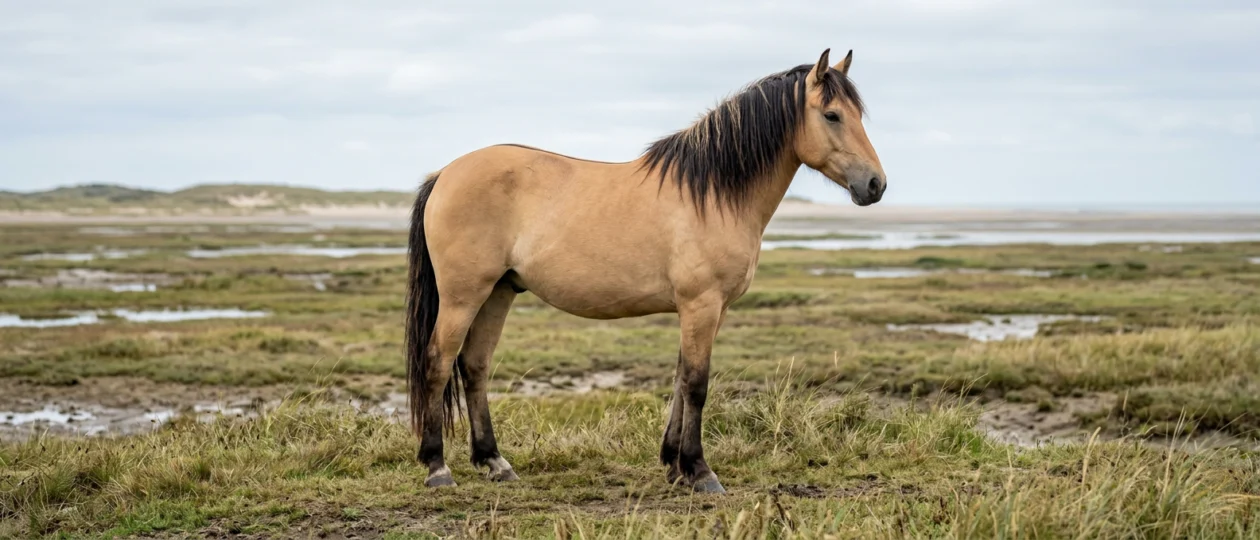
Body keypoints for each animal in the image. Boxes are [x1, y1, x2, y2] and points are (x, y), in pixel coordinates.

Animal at [405, 48, 886, 493]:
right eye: (832, 115)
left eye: (858, 115)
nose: (876, 185)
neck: (713, 195)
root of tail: (445, 173)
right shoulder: (701, 305)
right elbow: (697, 384)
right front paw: (700, 471)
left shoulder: (711, 310)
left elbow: (679, 379)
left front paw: (674, 465)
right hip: (463, 295)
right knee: (438, 362)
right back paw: (438, 468)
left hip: (498, 292)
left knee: (475, 366)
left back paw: (495, 462)